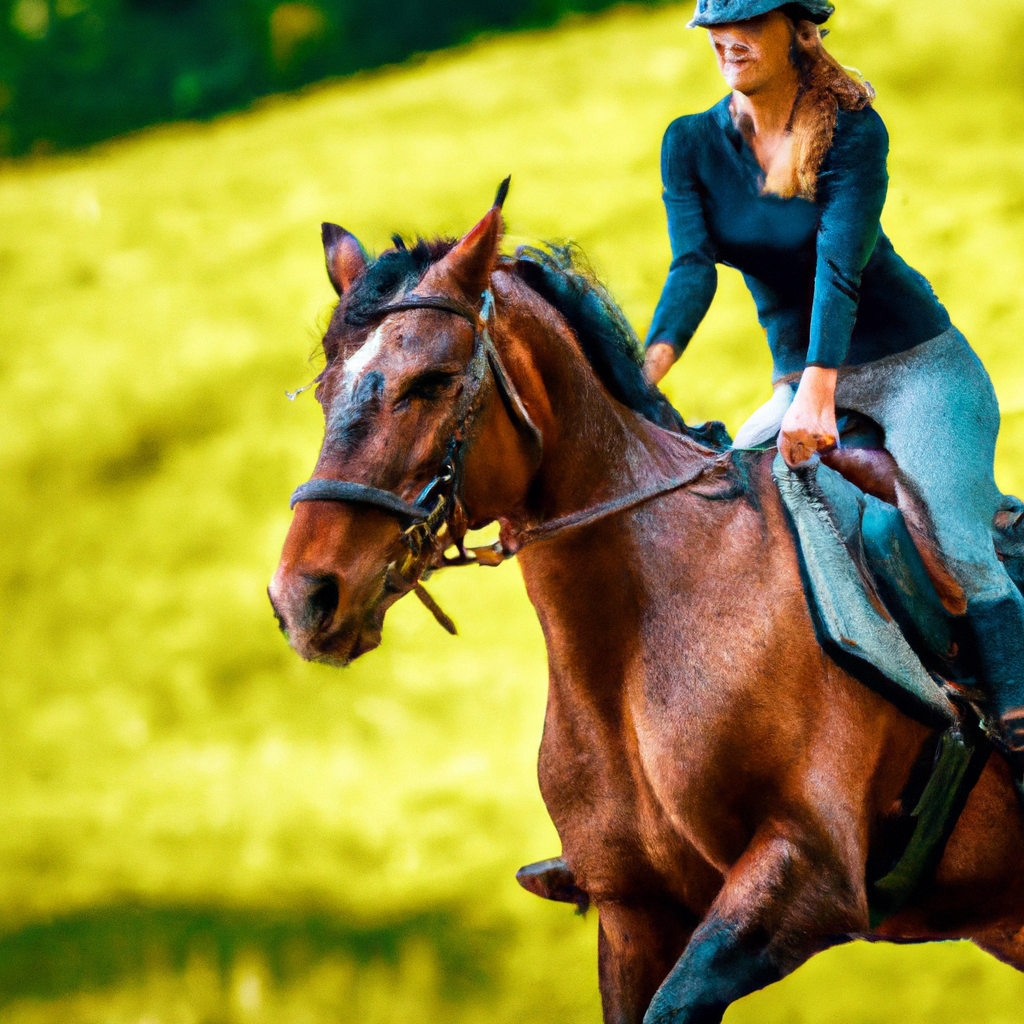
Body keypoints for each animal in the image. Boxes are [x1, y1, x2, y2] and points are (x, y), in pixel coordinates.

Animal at [268, 186, 1024, 1024]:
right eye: (325, 392)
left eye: (431, 381)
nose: (304, 597)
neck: (634, 640)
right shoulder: (635, 913)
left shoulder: (806, 877)